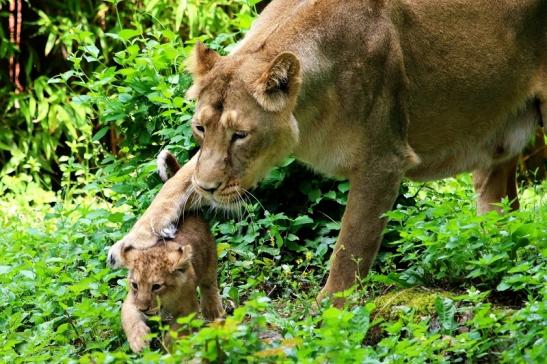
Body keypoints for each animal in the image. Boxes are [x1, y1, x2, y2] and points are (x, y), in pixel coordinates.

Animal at [109, 0, 544, 302]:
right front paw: (132, 241)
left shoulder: (384, 159)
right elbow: (180, 179)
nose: (210, 189)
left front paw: (330, 308)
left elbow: (351, 245)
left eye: (241, 135)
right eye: (201, 127)